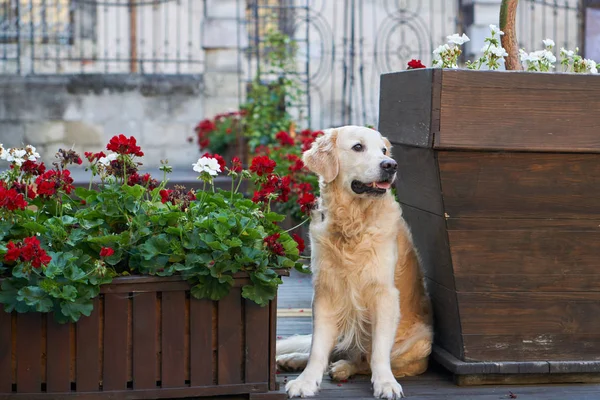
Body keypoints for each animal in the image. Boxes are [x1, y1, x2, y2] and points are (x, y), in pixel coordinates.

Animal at [276, 126, 432, 400]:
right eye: (358, 147)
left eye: (384, 150)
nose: (390, 165)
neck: (353, 223)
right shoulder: (326, 292)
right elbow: (318, 348)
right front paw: (306, 381)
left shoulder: (385, 294)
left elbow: (379, 352)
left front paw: (386, 383)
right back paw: (293, 359)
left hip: (420, 342)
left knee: (362, 359)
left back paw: (342, 368)